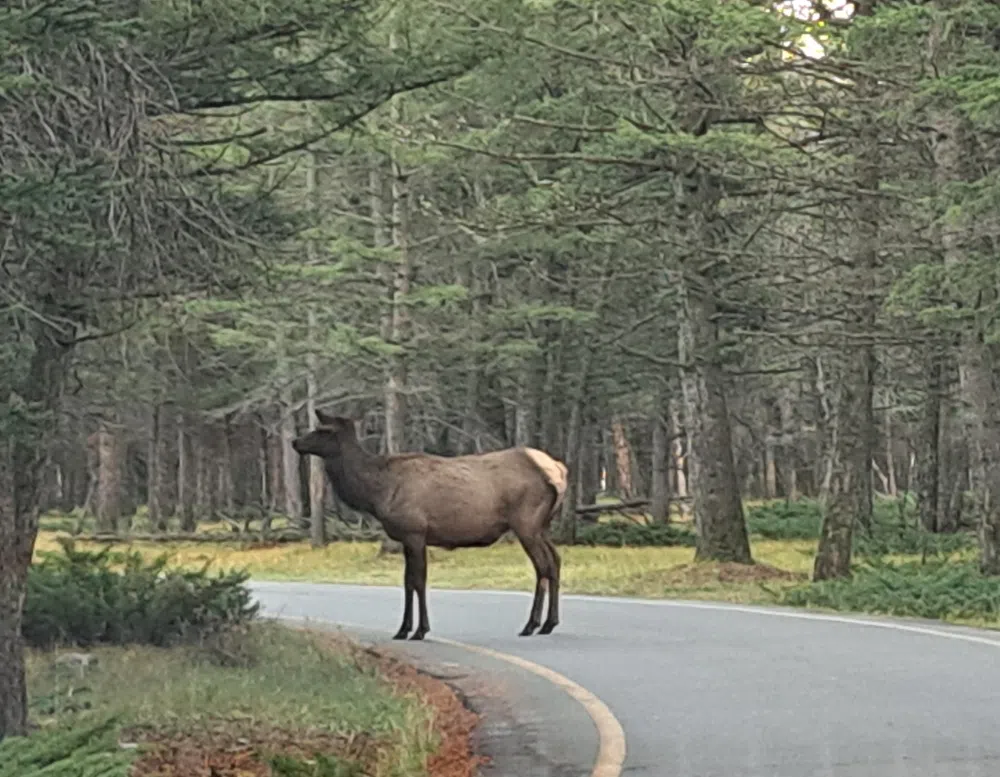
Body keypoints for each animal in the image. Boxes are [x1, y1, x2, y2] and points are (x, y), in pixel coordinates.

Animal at [292, 410, 568, 641]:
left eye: (324, 430)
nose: (295, 442)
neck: (376, 493)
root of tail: (558, 471)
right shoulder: (406, 537)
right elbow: (407, 581)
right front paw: (403, 629)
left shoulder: (415, 531)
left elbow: (418, 580)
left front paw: (419, 630)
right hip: (542, 525)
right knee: (555, 560)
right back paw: (549, 623)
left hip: (526, 522)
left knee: (542, 566)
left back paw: (532, 625)